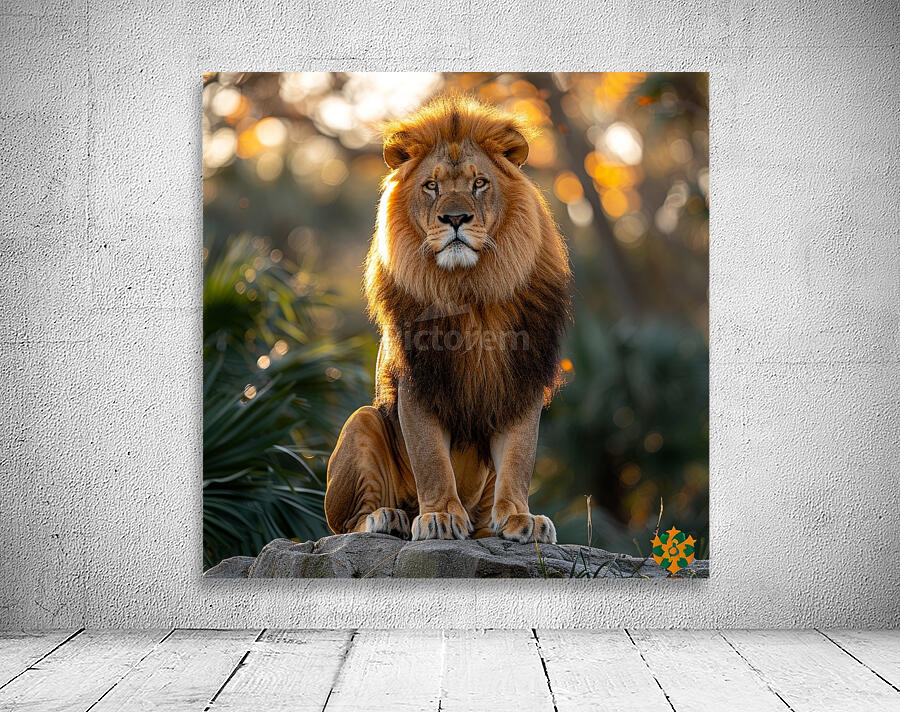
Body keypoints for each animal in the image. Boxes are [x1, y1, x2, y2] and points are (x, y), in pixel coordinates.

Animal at [324, 95, 571, 544]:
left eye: (479, 183)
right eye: (432, 186)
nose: (455, 219)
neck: (470, 290)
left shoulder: (521, 380)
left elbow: (518, 458)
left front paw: (520, 518)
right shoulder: (417, 380)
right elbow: (431, 460)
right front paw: (438, 516)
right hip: (362, 421)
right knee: (345, 525)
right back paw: (390, 517)